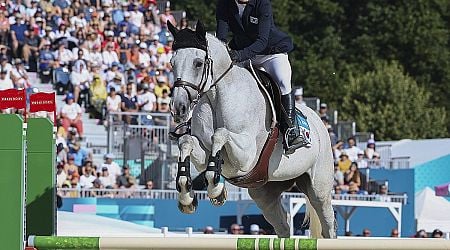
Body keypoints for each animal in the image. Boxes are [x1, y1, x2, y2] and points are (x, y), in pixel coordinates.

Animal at [168, 21, 334, 238]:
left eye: (198, 63)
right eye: (172, 63)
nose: (178, 107)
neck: (216, 96)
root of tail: (320, 123)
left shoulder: (246, 155)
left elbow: (219, 134)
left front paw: (216, 190)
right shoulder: (204, 151)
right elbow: (186, 141)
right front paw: (186, 195)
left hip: (319, 189)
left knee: (327, 224)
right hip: (265, 193)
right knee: (283, 225)